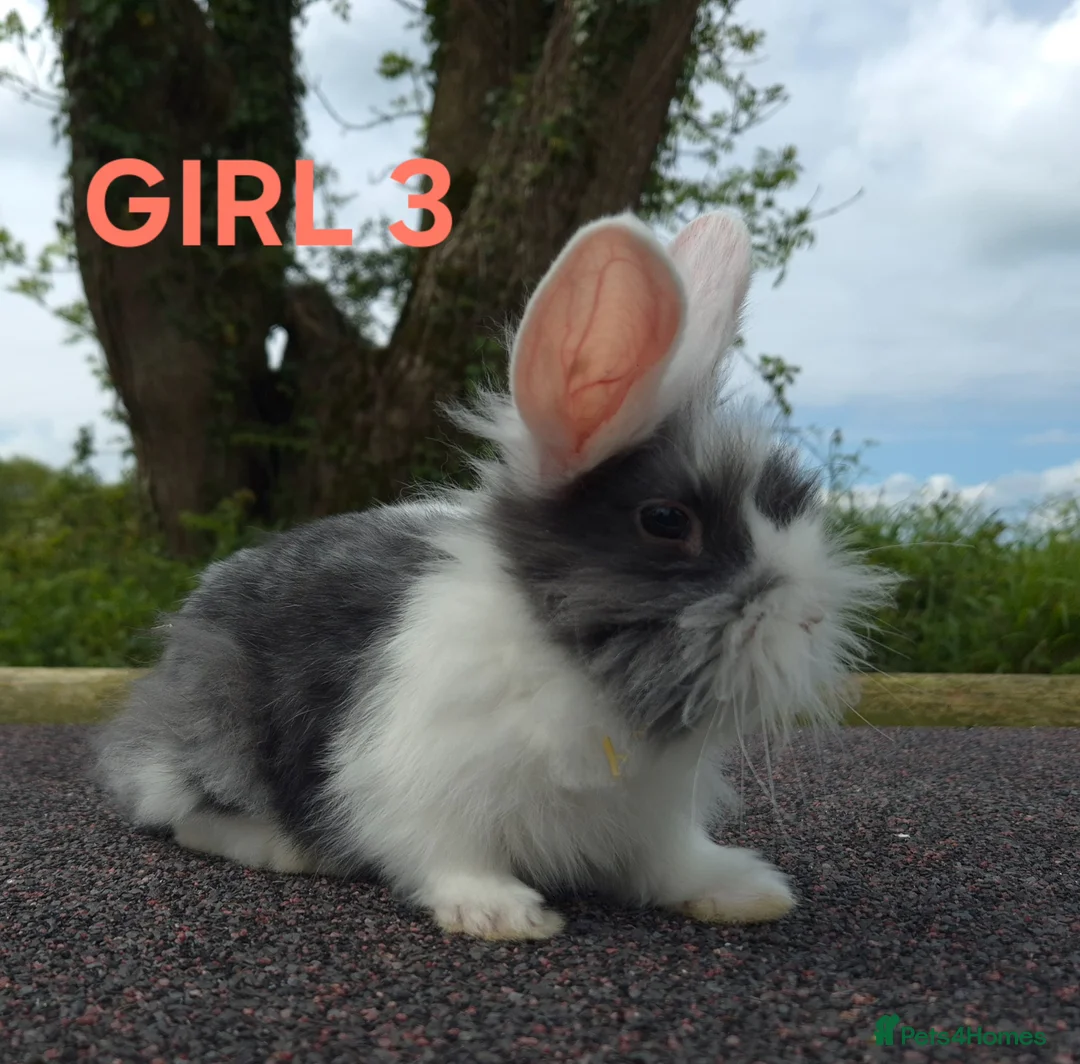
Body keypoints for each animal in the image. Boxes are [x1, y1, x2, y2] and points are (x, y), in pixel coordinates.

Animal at [92, 208, 895, 941]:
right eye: (667, 521)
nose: (812, 619)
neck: (568, 660)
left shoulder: (655, 815)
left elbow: (671, 864)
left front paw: (747, 891)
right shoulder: (417, 783)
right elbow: (448, 855)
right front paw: (502, 914)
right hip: (217, 731)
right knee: (186, 813)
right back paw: (285, 848)